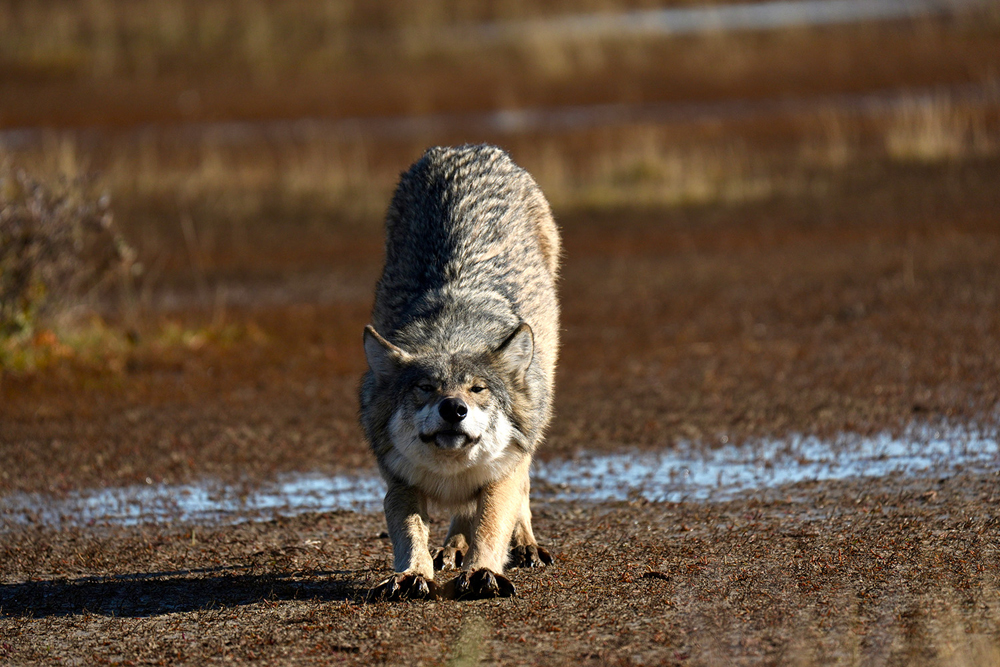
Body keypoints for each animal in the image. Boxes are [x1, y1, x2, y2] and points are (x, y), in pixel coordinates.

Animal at [360, 144, 560, 601]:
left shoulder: (501, 473)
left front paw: (483, 570)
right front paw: (411, 574)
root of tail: (466, 148)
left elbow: (491, 522)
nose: (454, 409)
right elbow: (410, 533)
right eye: (425, 387)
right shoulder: (399, 482)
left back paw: (524, 544)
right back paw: (452, 547)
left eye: (478, 388)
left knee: (520, 491)